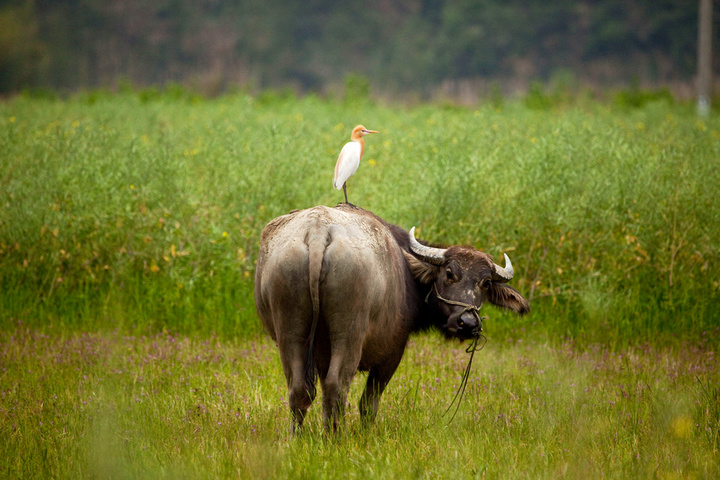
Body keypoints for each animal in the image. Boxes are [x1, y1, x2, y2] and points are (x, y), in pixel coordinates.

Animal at [253, 203, 528, 432]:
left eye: (486, 283)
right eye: (449, 273)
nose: (467, 323)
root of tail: (319, 231)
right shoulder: (391, 353)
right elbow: (368, 403)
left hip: (290, 331)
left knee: (299, 389)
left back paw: (298, 437)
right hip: (349, 332)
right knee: (337, 385)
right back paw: (336, 438)